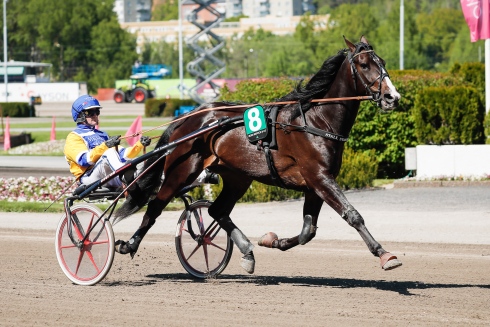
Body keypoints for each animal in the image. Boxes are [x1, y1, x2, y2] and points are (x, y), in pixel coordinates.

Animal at [114, 36, 402, 276]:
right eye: (364, 64)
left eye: (383, 62)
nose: (393, 97)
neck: (314, 120)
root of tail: (190, 117)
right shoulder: (319, 178)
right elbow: (352, 215)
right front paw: (384, 254)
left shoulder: (315, 184)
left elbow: (308, 232)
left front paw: (273, 240)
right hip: (181, 170)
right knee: (155, 205)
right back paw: (129, 244)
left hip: (237, 176)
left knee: (217, 210)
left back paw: (247, 251)